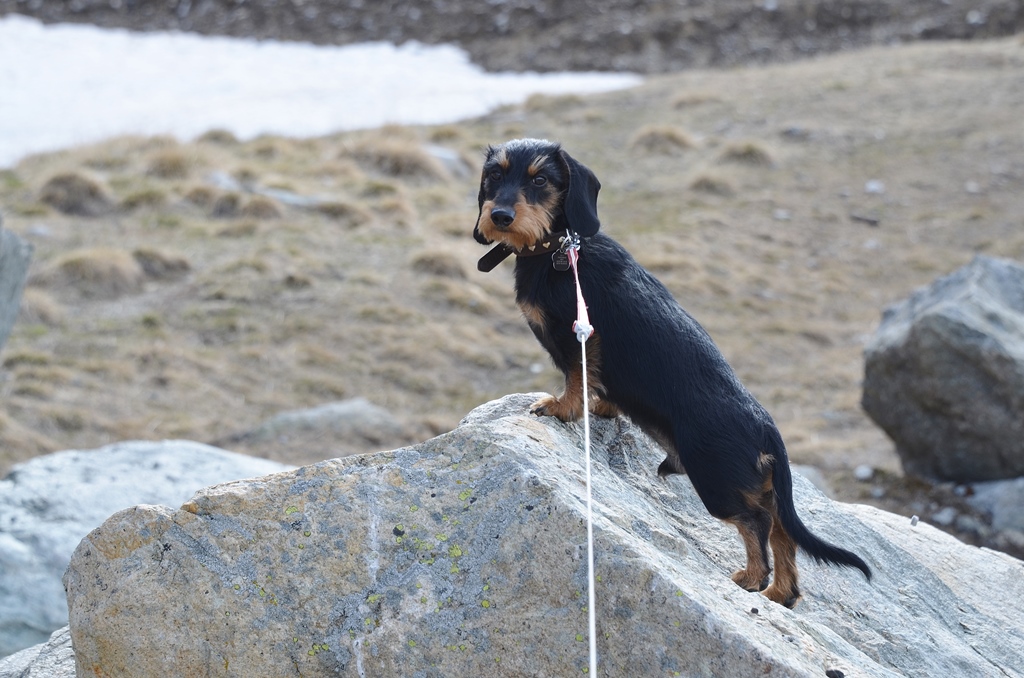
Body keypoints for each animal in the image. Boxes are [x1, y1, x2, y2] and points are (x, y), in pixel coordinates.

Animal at [473, 138, 872, 610]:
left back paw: (752, 578)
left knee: (755, 523)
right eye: (494, 176)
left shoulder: (578, 335)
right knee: (782, 535)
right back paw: (780, 592)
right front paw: (602, 406)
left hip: (717, 482)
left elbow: (576, 376)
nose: (499, 216)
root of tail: (768, 429)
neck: (560, 250)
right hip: (756, 487)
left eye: (539, 180)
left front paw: (562, 408)